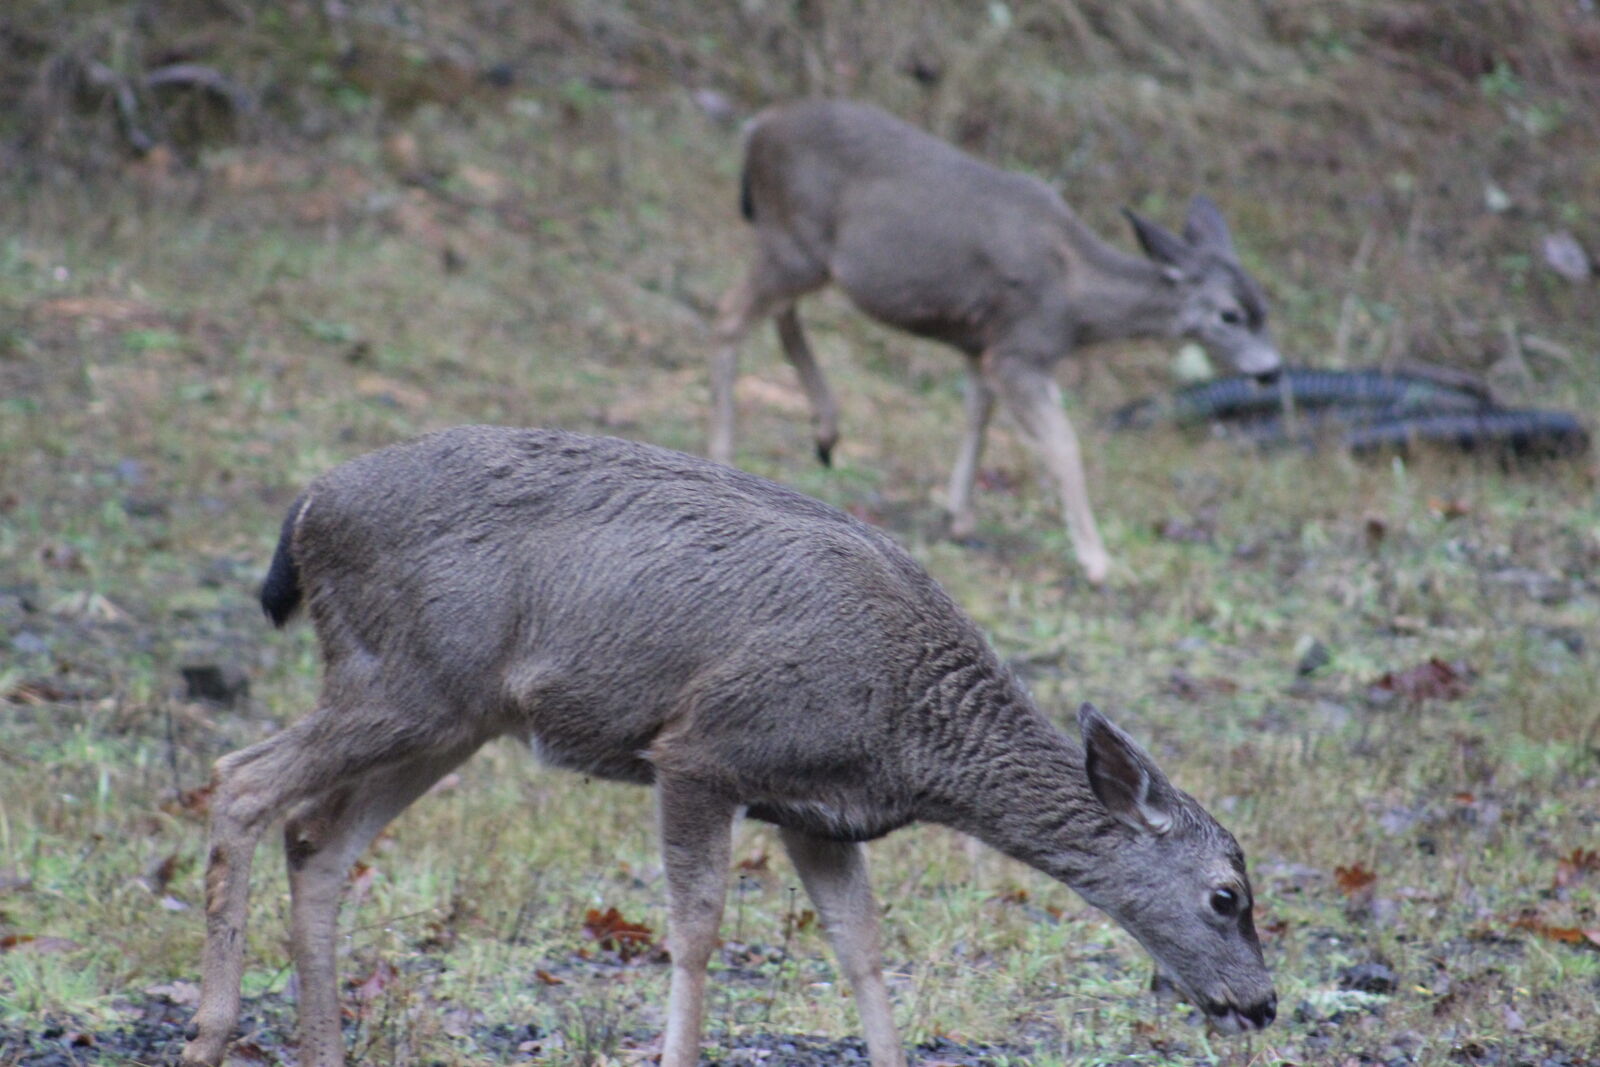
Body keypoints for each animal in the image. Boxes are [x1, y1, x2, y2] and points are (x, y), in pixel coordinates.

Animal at [180, 426, 1276, 1067]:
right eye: (1227, 894)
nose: (1261, 1005)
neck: (910, 731)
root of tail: (307, 507)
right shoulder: (703, 748)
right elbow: (698, 929)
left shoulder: (819, 813)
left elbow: (862, 949)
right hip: (402, 680)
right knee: (238, 781)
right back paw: (210, 1031)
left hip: (449, 713)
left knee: (318, 839)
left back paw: (319, 1046)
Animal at [709, 99, 1284, 585]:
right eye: (1231, 315)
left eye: (1264, 307)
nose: (1273, 370)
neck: (1076, 300)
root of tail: (756, 128)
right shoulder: (1018, 350)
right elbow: (1063, 445)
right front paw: (1097, 561)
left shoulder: (979, 343)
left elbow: (977, 415)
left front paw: (958, 515)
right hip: (795, 244)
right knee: (731, 314)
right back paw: (727, 448)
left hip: (800, 253)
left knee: (778, 315)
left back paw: (826, 433)